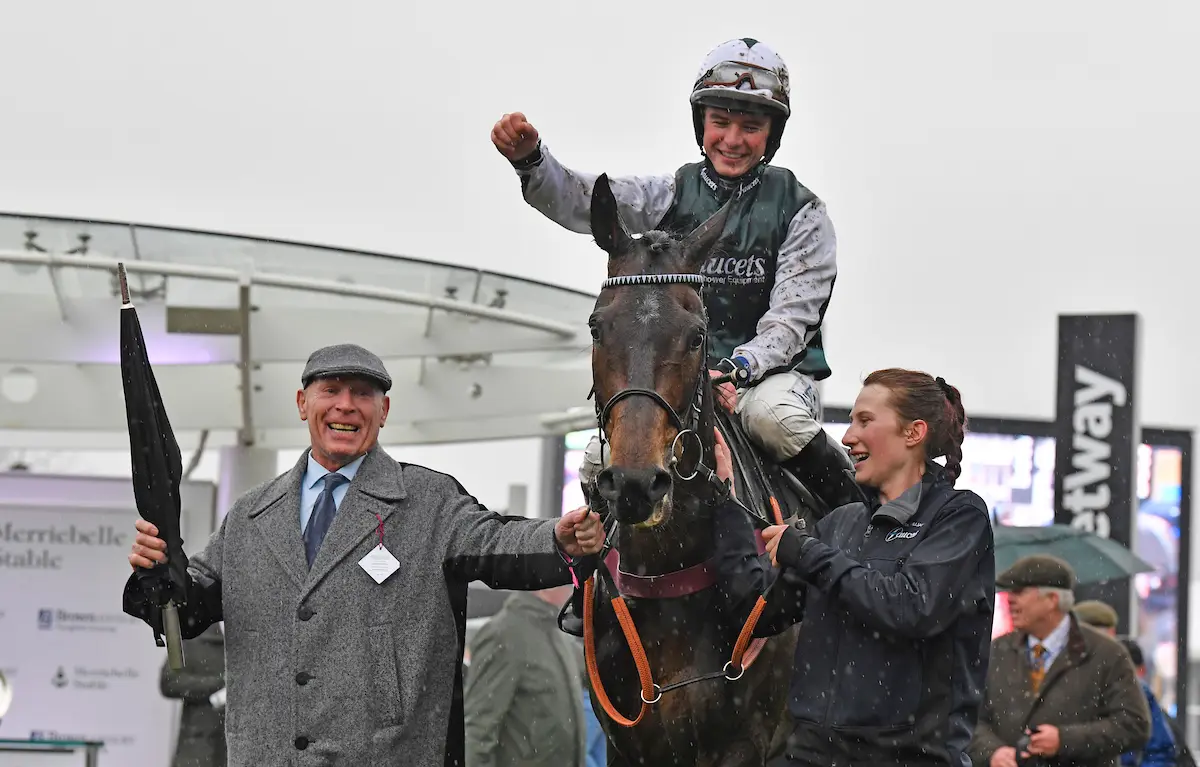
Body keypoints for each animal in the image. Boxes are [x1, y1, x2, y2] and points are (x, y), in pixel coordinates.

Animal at [571, 173, 826, 766]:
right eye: (596, 327)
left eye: (696, 335)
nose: (636, 485)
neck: (668, 571)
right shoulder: (625, 743)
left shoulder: (748, 745)